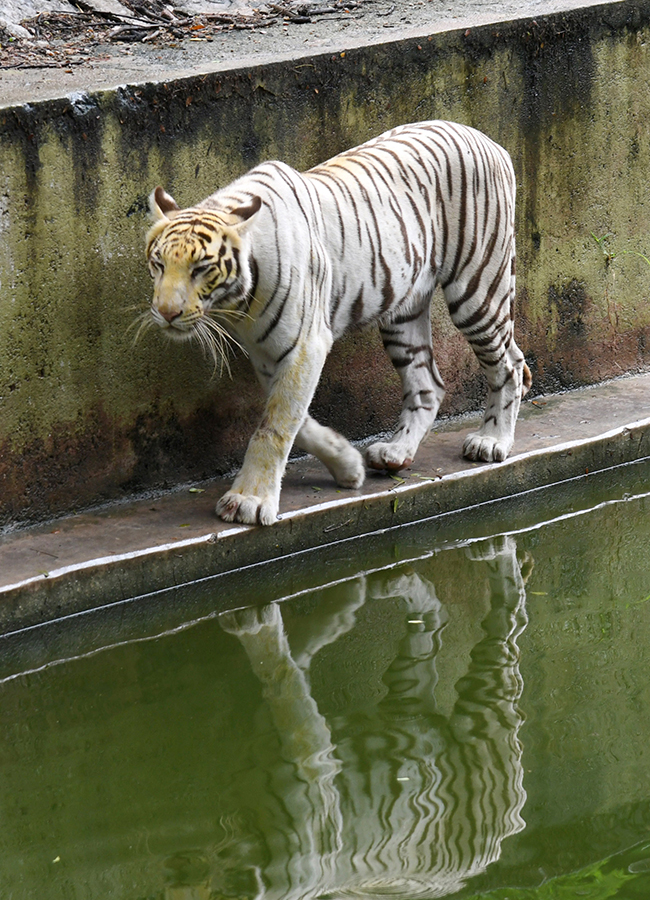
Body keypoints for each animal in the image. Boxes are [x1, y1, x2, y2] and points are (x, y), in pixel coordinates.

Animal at [145, 120, 531, 526]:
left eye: (201, 268)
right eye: (158, 264)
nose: (166, 312)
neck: (238, 302)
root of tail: (489, 140)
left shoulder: (305, 344)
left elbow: (275, 426)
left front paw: (248, 500)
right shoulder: (267, 353)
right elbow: (296, 421)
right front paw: (348, 466)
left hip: (477, 289)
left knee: (507, 365)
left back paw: (492, 440)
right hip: (403, 312)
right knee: (429, 383)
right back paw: (396, 452)